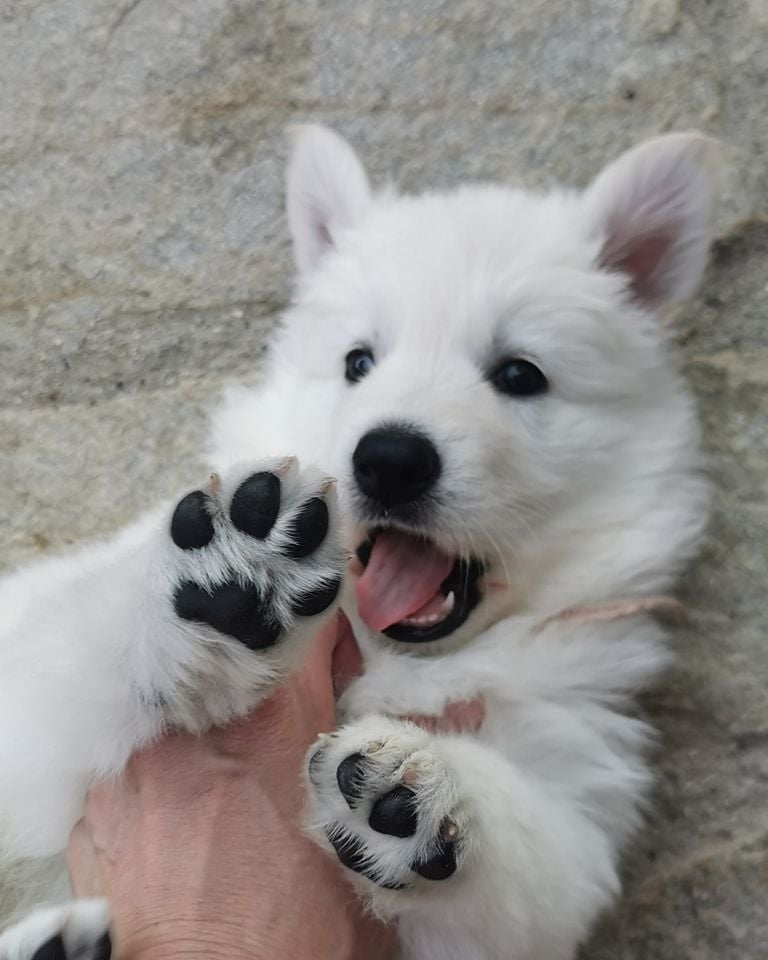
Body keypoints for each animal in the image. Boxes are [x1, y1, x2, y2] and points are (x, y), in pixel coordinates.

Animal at [0, 129, 716, 960]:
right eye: (358, 362)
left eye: (519, 374)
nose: (391, 459)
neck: (394, 657)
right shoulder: (36, 723)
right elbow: (67, 646)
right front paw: (219, 588)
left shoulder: (575, 769)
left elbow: (535, 854)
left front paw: (426, 789)